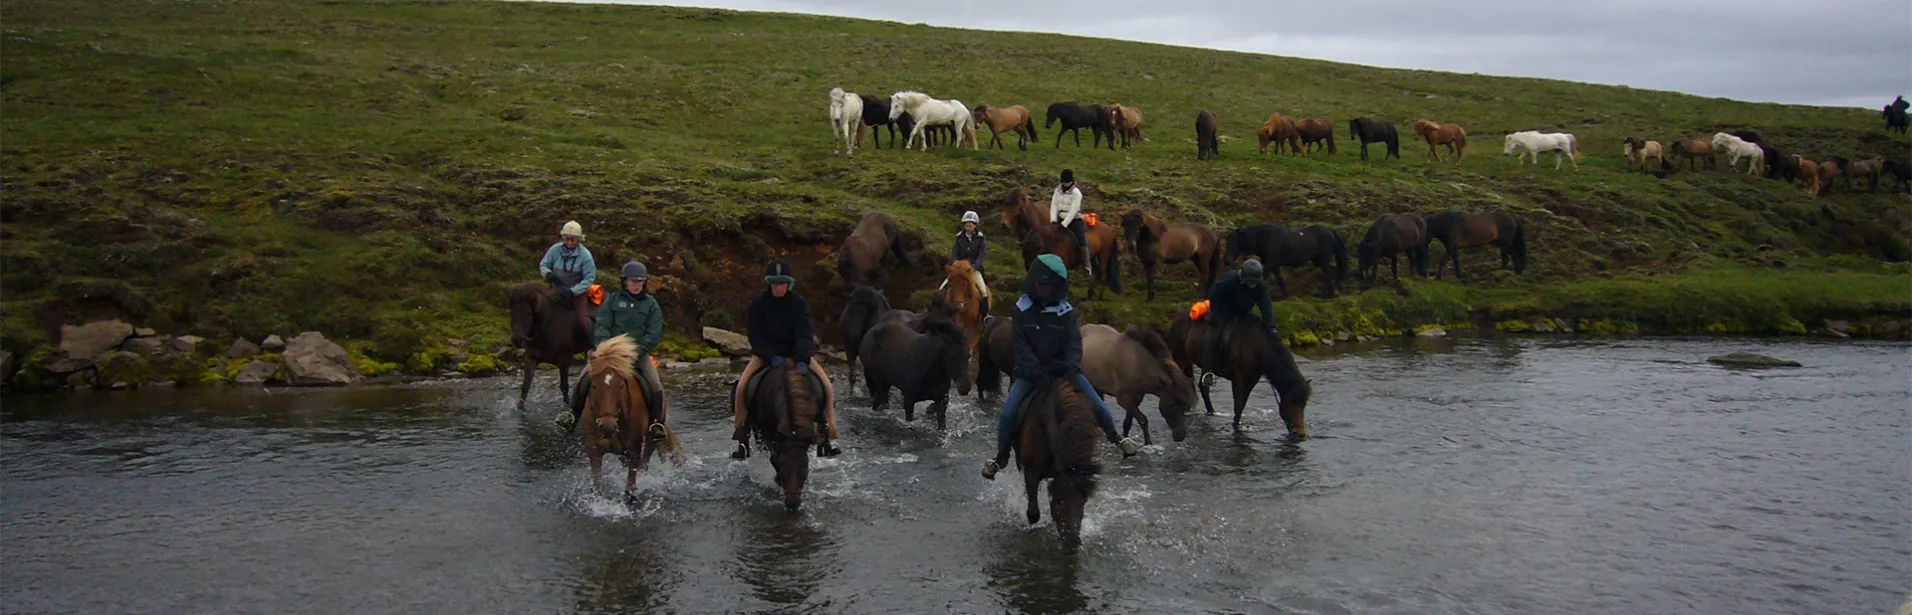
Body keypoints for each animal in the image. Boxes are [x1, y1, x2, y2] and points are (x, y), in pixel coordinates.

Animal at [577, 334, 684, 496]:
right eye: (594, 385)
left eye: (621, 386)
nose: (607, 427)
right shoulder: (594, 452)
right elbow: (597, 488)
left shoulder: (634, 451)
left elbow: (630, 488)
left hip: (651, 437)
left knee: (645, 461)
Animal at [738, 362, 822, 511]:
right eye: (782, 465)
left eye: (805, 465)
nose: (793, 504)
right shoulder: (767, 435)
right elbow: (773, 457)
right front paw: (777, 479)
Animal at [1162, 313, 1315, 437]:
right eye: (1291, 402)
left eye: (1304, 404)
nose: (1300, 433)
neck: (1256, 346)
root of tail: (1176, 319)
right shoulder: (1238, 380)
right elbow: (1238, 405)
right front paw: (1235, 427)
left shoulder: (1251, 381)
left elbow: (1241, 406)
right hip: (1180, 356)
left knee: (1202, 387)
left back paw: (1211, 412)